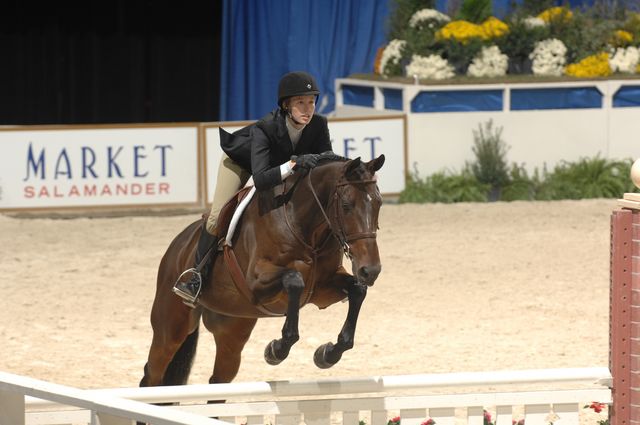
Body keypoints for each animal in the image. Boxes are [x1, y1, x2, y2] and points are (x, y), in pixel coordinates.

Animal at [140, 154, 384, 390]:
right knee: (152, 375)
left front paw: (327, 354)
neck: (303, 226)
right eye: (346, 205)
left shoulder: (323, 290)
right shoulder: (255, 283)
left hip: (233, 330)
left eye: (379, 203)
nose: (370, 270)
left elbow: (358, 291)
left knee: (219, 380)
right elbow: (294, 280)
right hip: (170, 328)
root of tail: (179, 244)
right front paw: (276, 350)